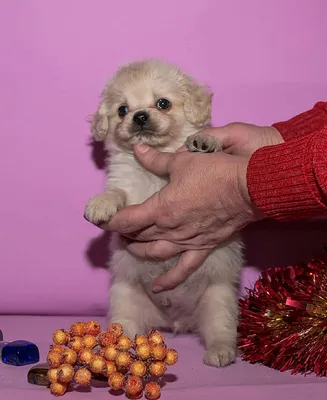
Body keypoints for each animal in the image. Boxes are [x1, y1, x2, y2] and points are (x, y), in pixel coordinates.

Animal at [84, 57, 243, 368]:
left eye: (163, 104)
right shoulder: (127, 185)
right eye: (122, 110)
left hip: (218, 300)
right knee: (124, 328)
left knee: (221, 329)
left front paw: (206, 143)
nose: (139, 116)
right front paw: (101, 203)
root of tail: (175, 321)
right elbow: (117, 192)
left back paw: (220, 351)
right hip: (124, 299)